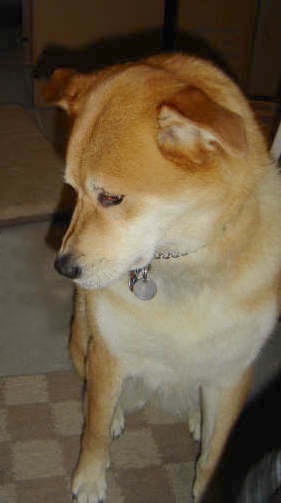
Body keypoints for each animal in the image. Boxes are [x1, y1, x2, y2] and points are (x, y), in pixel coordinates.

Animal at [44, 53, 281, 502]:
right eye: (72, 190)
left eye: (111, 197)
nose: (64, 268)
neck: (181, 265)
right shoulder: (109, 352)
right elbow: (95, 428)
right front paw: (90, 478)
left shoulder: (233, 371)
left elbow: (214, 454)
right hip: (80, 338)